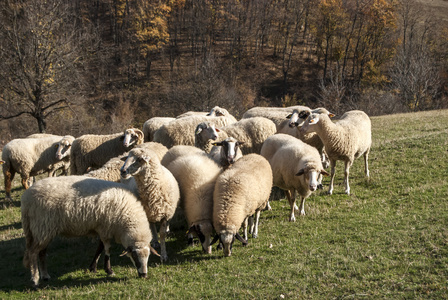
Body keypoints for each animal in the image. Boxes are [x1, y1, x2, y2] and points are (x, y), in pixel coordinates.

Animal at [21, 176, 158, 288]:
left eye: (148, 256)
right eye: (134, 256)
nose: (144, 275)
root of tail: (26, 198)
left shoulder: (102, 228)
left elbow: (100, 248)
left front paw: (93, 267)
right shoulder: (105, 227)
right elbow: (107, 249)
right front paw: (108, 270)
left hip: (43, 230)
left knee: (41, 253)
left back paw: (45, 275)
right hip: (42, 226)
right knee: (33, 253)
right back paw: (35, 280)